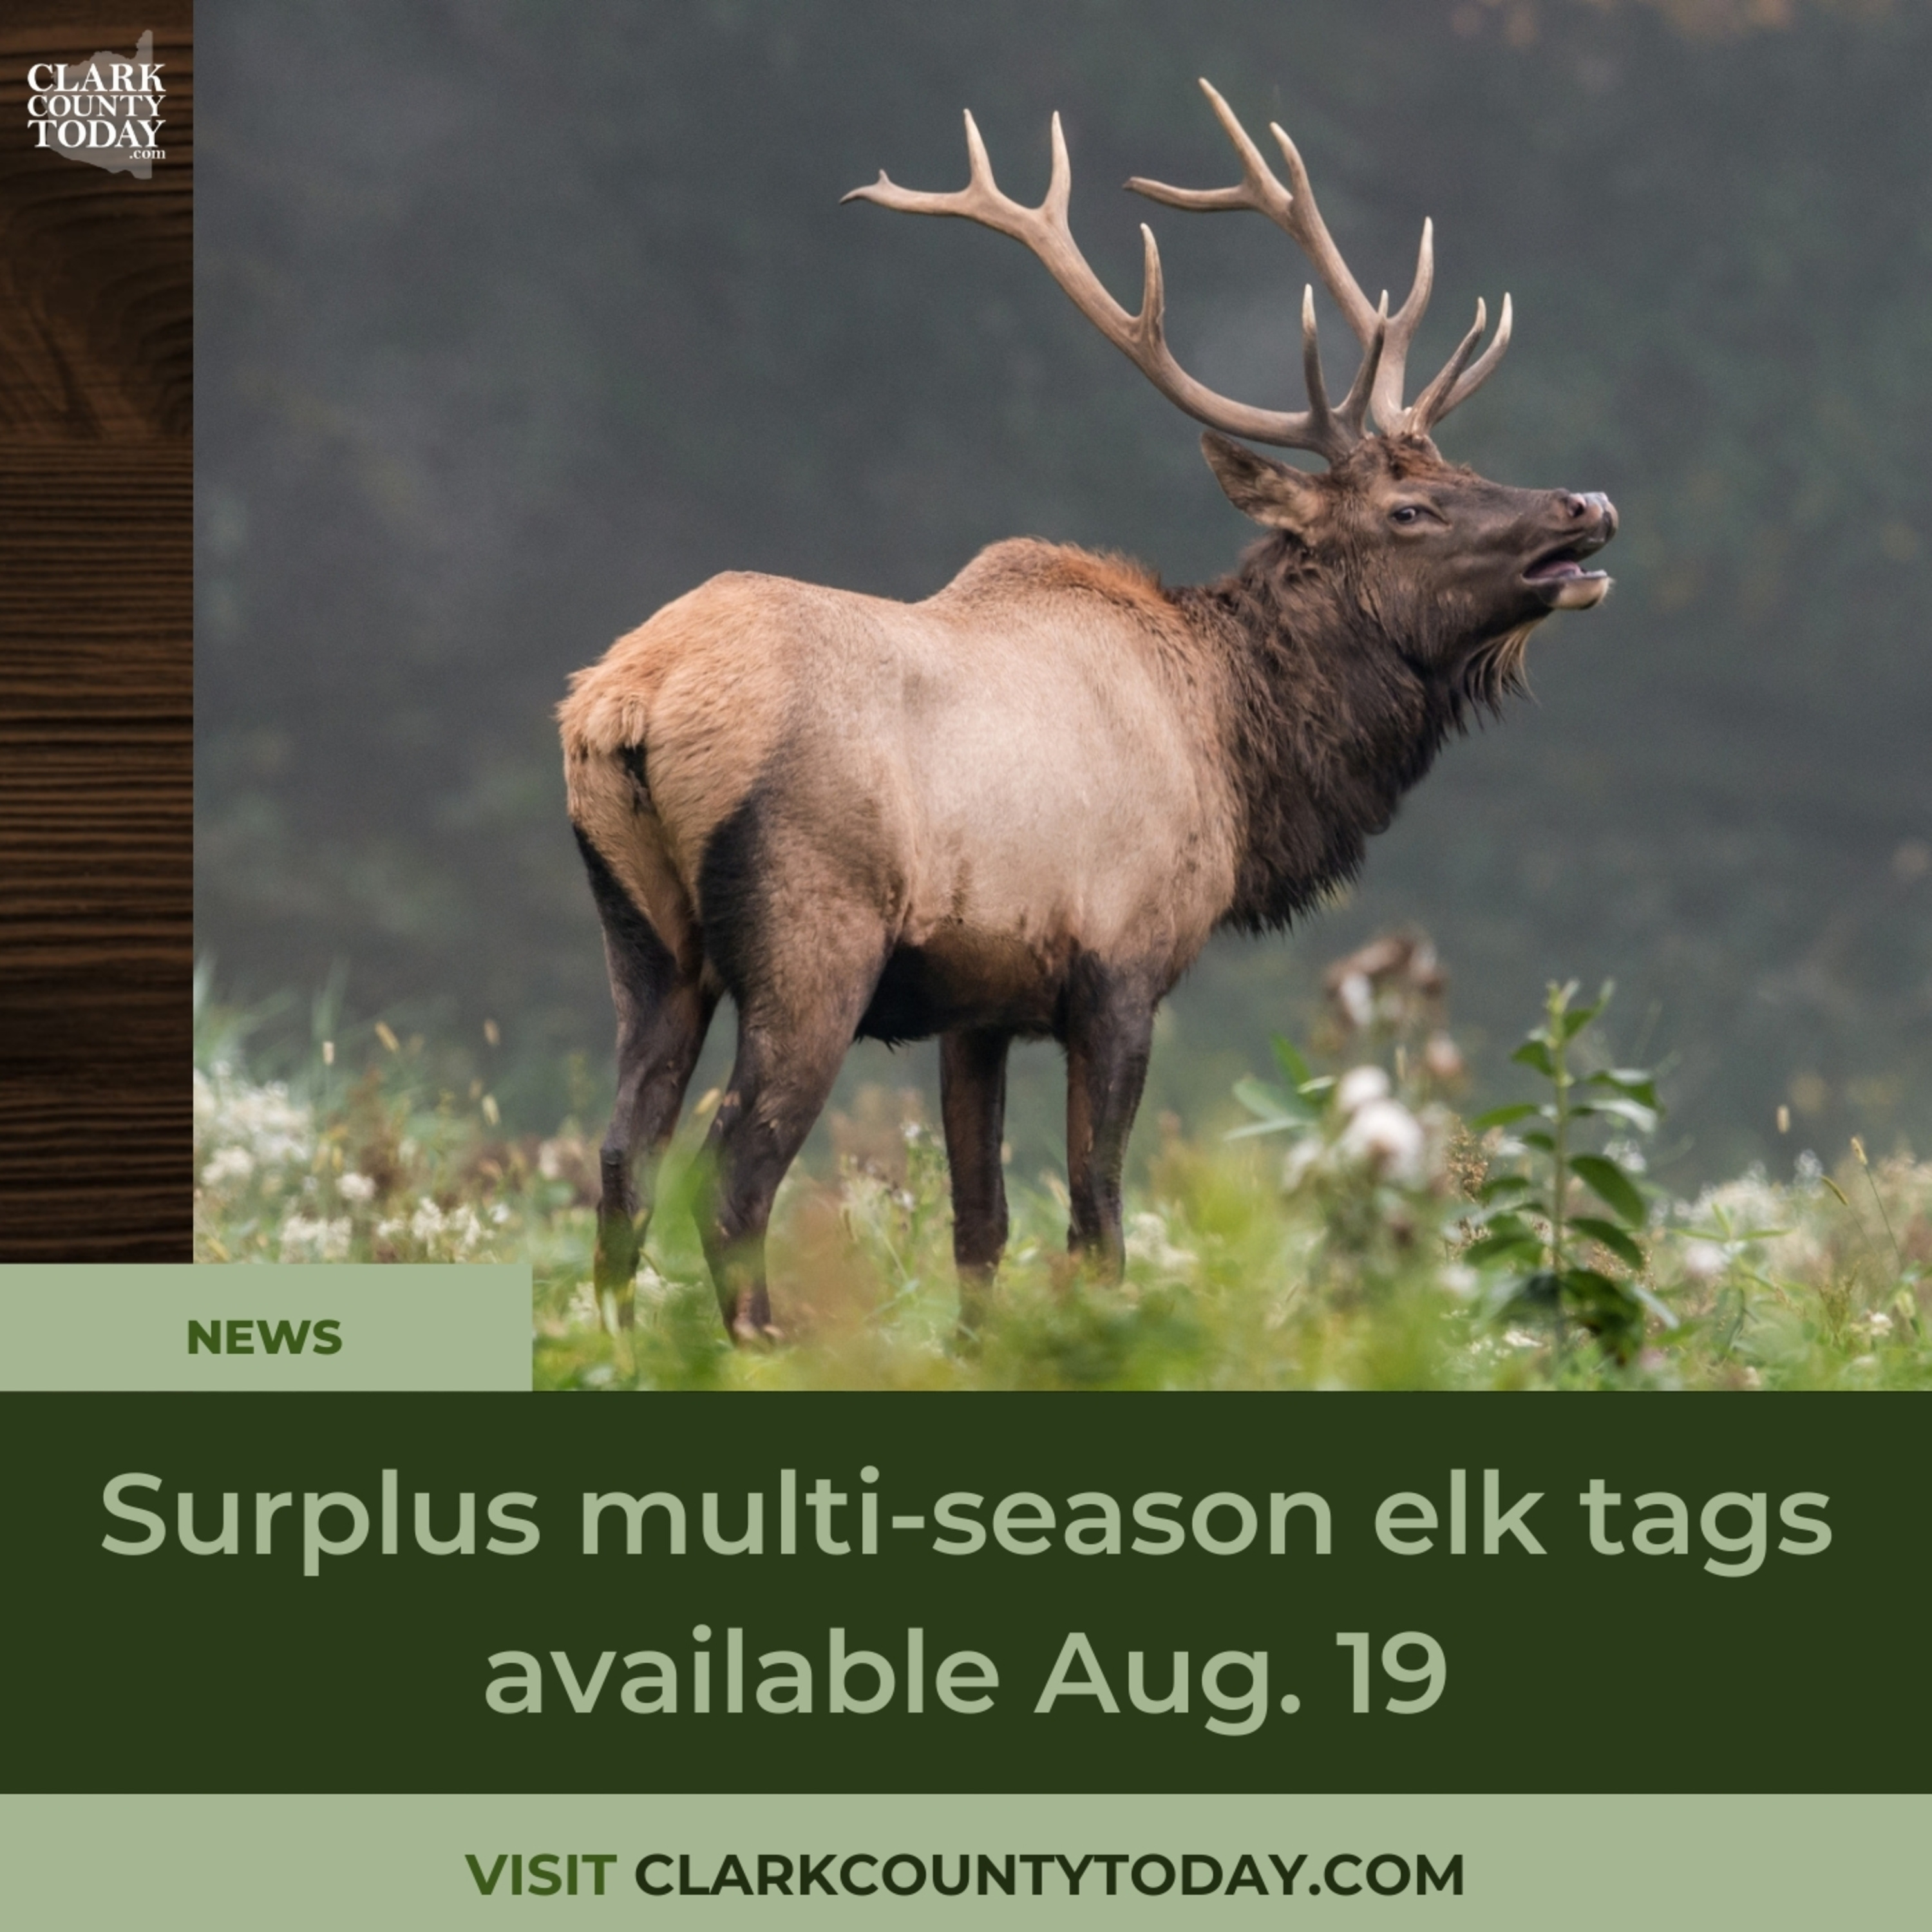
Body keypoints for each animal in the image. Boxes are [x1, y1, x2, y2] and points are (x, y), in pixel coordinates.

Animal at [559, 79, 1616, 1343]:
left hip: (646, 937)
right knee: (731, 1177)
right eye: (1409, 507)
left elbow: (979, 1228)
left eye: (1460, 464)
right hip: (811, 932)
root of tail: (626, 703)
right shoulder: (1120, 964)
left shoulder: (975, 1002)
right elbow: (1097, 1223)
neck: (1238, 754)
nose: (1586, 503)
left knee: (621, 1159)